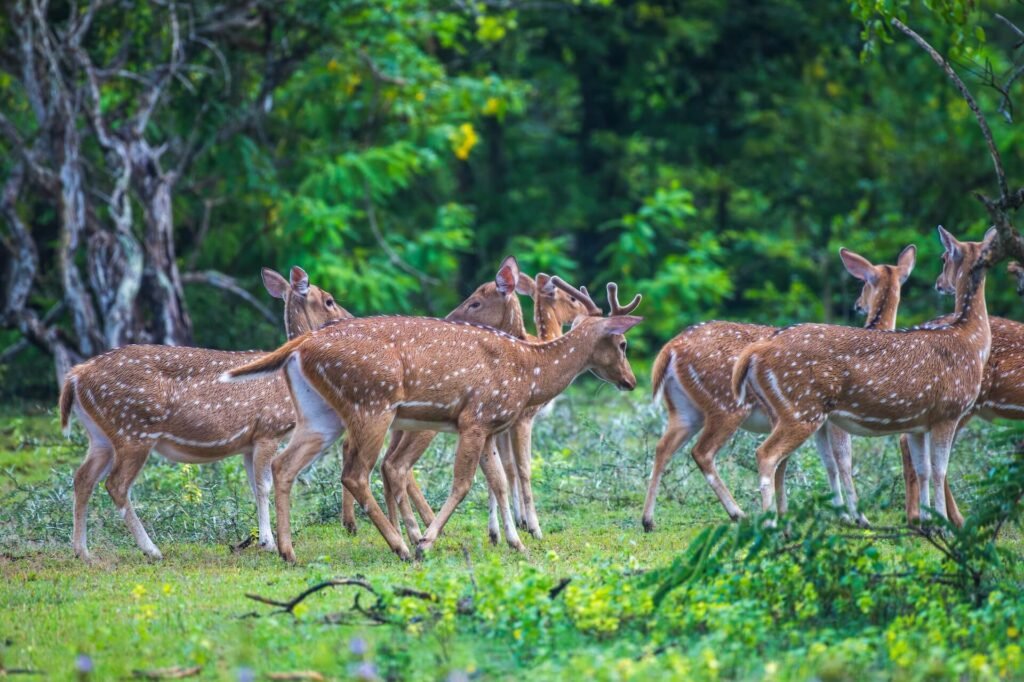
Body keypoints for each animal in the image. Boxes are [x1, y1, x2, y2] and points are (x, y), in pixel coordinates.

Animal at [60, 267, 349, 561]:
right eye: (329, 300)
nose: (348, 318)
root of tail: (75, 377)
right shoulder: (269, 428)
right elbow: (264, 484)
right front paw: (267, 543)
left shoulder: (250, 441)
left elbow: (254, 486)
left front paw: (262, 540)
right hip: (132, 430)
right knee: (116, 484)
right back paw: (151, 549)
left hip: (101, 435)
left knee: (82, 478)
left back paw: (82, 552)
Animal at [221, 260, 643, 562]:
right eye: (622, 343)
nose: (631, 380)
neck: (530, 371)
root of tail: (299, 346)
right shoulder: (476, 417)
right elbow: (467, 482)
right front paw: (429, 540)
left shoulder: (490, 424)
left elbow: (497, 480)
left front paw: (514, 541)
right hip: (372, 404)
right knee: (359, 473)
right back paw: (402, 546)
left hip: (320, 414)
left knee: (284, 465)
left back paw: (289, 551)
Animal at [644, 245, 916, 529]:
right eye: (862, 284)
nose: (857, 305)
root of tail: (671, 348)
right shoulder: (834, 419)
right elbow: (843, 461)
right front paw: (859, 517)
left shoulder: (822, 421)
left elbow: (827, 463)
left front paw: (837, 513)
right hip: (727, 405)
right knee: (703, 452)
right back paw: (739, 513)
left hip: (686, 408)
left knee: (662, 448)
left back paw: (649, 520)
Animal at [731, 226, 994, 524]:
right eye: (943, 257)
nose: (939, 284)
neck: (971, 342)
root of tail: (757, 350)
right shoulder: (948, 411)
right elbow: (939, 470)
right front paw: (943, 523)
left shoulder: (919, 422)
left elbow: (923, 469)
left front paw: (926, 522)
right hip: (802, 409)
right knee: (766, 454)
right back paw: (769, 521)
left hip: (786, 411)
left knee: (779, 460)